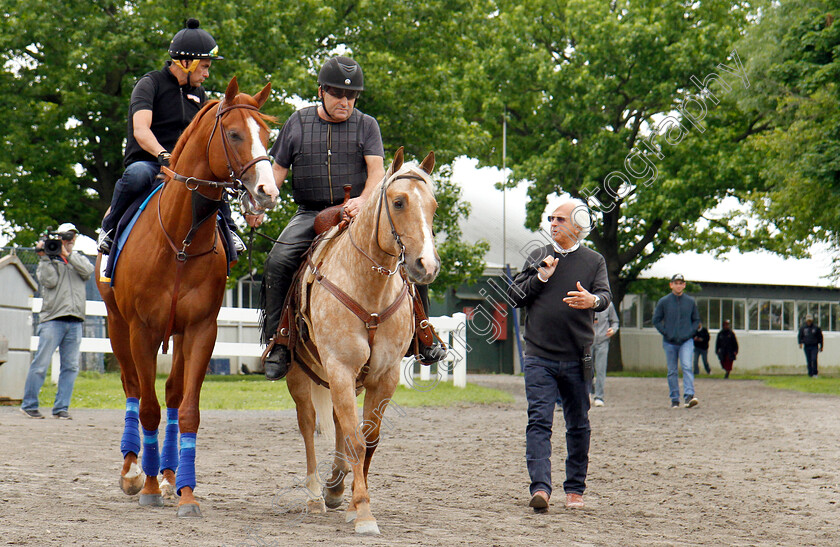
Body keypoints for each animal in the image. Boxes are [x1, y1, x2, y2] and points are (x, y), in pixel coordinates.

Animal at [95, 77, 278, 520]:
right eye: (235, 134)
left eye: (267, 134)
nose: (267, 191)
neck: (180, 238)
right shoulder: (141, 331)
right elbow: (147, 407)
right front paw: (145, 486)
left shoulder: (199, 331)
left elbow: (188, 409)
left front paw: (186, 492)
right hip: (116, 325)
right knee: (132, 387)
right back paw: (133, 470)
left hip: (175, 334)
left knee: (174, 395)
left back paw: (168, 475)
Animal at [286, 147, 440, 536]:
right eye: (398, 202)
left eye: (433, 205)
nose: (426, 266)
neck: (369, 290)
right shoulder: (340, 367)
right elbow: (355, 439)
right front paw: (365, 514)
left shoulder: (383, 376)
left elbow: (368, 438)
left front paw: (355, 504)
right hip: (300, 374)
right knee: (308, 424)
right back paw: (315, 495)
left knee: (340, 423)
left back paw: (336, 487)